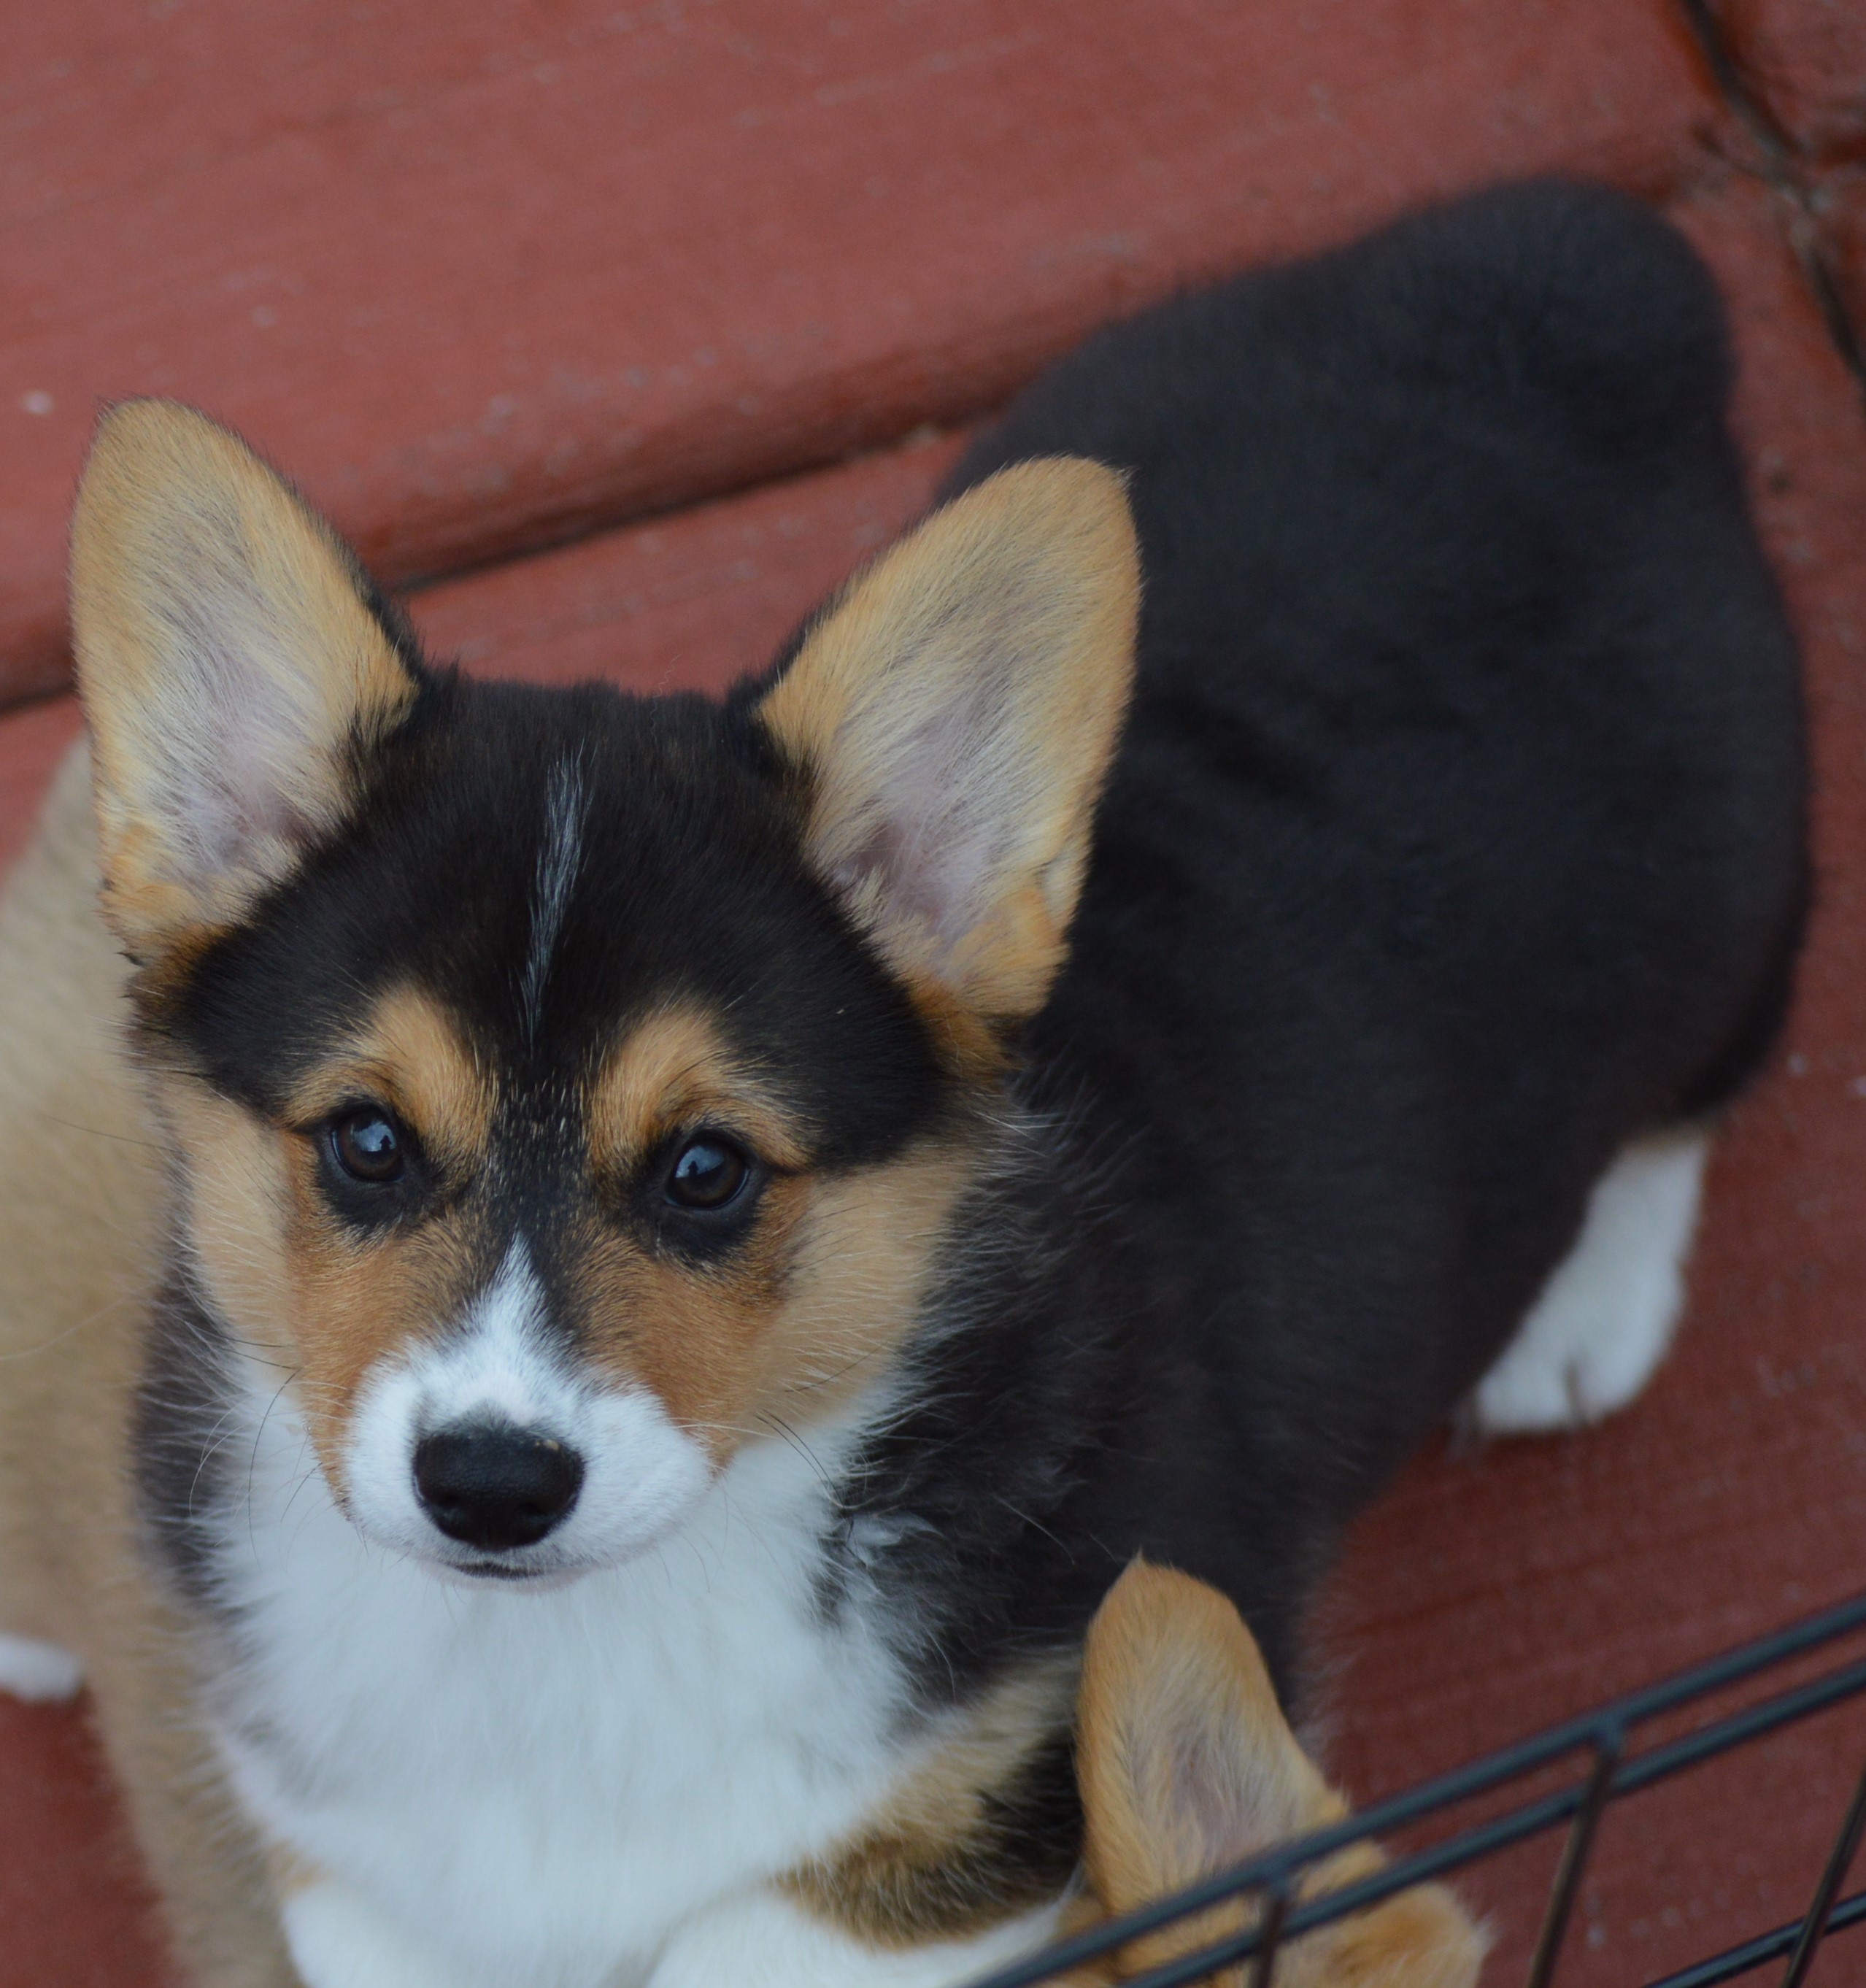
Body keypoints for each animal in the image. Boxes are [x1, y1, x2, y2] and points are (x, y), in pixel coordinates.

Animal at [0, 179, 1812, 1980]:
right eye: (366, 1142)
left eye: (708, 1170)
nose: (492, 1487)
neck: (580, 1641)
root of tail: (1573, 279)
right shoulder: (344, 1863)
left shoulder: (1046, 1742)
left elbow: (774, 1923)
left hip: (1734, 900)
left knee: (1696, 1091)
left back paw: (1585, 1312)